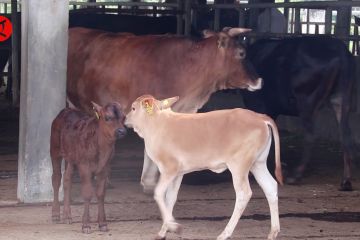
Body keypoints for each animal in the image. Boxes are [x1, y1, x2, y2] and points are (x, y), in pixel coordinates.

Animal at [50, 101, 126, 232]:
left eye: (123, 118)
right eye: (107, 118)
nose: (121, 131)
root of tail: (66, 110)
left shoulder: (105, 167)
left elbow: (101, 194)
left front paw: (102, 223)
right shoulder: (84, 165)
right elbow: (87, 193)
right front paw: (86, 225)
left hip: (71, 158)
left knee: (67, 179)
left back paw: (67, 216)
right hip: (54, 149)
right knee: (56, 178)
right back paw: (55, 214)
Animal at [243, 36, 356, 191]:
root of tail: (342, 52)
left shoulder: (257, 104)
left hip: (306, 100)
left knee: (310, 135)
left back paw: (296, 175)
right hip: (341, 99)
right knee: (345, 135)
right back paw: (346, 181)